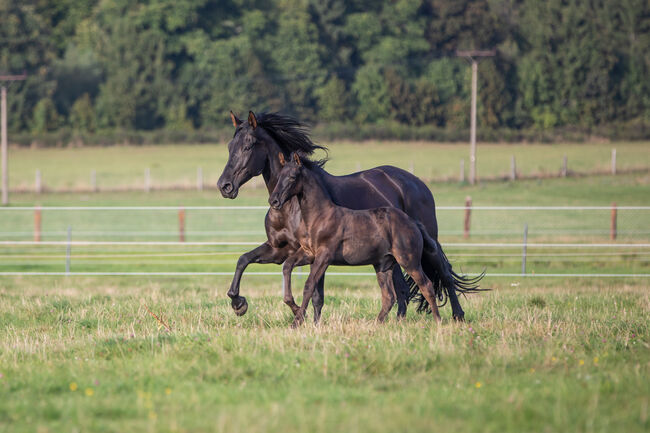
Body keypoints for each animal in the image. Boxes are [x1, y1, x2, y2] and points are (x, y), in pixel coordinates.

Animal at [268, 154, 440, 326]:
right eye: (279, 176)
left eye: (292, 177)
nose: (273, 201)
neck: (320, 217)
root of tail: (413, 222)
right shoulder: (308, 253)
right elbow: (287, 266)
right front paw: (293, 305)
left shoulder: (324, 256)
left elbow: (309, 285)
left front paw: (297, 321)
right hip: (384, 265)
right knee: (389, 296)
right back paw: (376, 324)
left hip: (409, 261)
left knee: (426, 286)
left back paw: (437, 321)